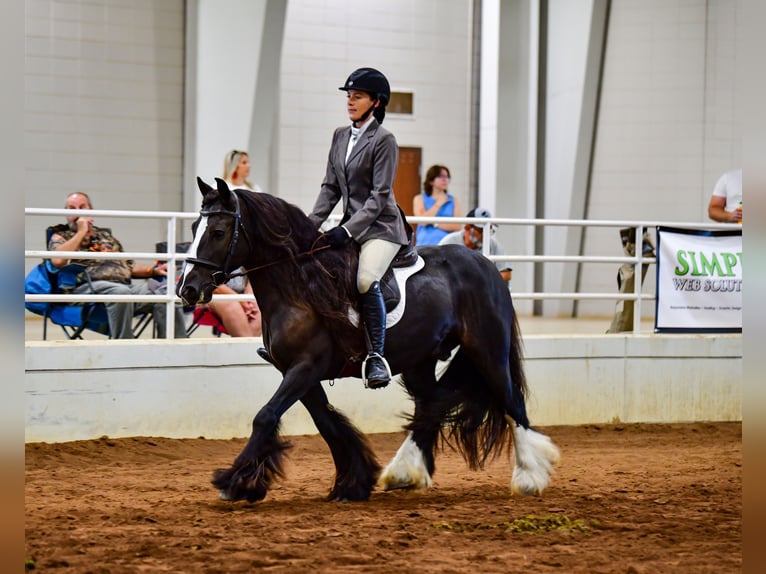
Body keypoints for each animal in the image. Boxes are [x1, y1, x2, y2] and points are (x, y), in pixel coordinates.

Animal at [181, 179, 560, 504]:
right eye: (194, 229)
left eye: (218, 232)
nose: (188, 289)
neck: (300, 287)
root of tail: (487, 265)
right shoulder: (297, 371)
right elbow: (327, 423)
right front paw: (353, 482)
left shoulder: (305, 367)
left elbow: (266, 416)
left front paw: (234, 482)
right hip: (420, 360)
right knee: (432, 404)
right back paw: (404, 472)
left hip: (487, 350)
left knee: (511, 402)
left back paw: (529, 477)